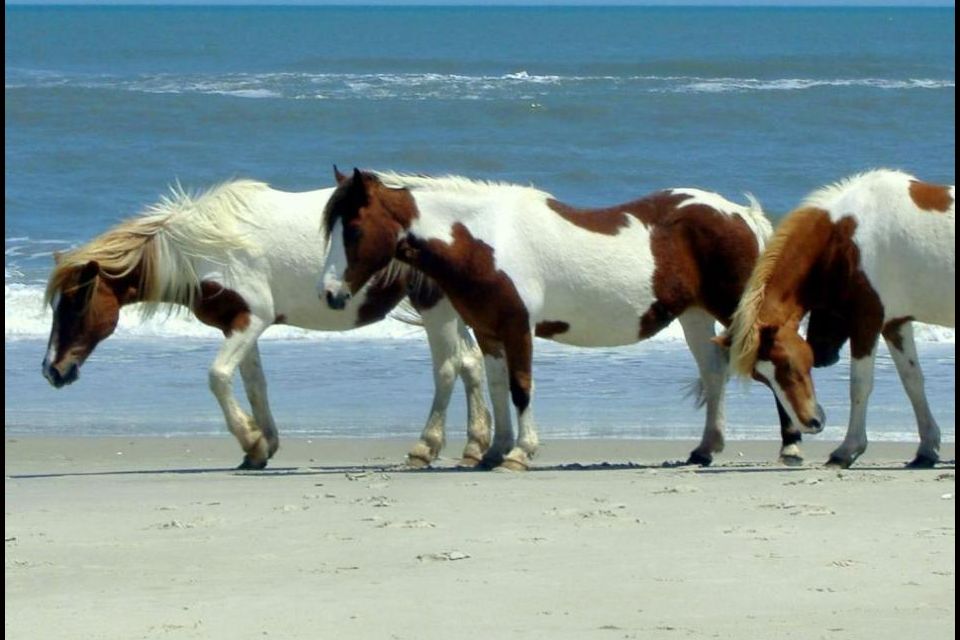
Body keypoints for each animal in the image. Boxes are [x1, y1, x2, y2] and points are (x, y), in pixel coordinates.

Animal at [43, 180, 496, 470]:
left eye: (76, 303)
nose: (52, 371)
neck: (203, 249)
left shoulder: (251, 320)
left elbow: (218, 377)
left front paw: (252, 440)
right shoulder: (238, 326)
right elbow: (252, 383)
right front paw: (261, 447)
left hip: (434, 306)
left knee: (448, 369)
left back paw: (426, 448)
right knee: (471, 364)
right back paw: (475, 447)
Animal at [320, 168, 808, 470]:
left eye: (355, 230)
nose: (330, 293)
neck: (485, 240)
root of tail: (740, 213)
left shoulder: (518, 328)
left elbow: (520, 388)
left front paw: (520, 453)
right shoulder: (488, 331)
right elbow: (496, 387)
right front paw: (494, 451)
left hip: (732, 309)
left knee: (769, 360)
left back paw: (791, 445)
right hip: (693, 316)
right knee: (713, 372)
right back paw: (706, 448)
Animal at [728, 169, 952, 470]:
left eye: (787, 364)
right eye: (761, 377)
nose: (811, 423)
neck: (845, 237)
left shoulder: (866, 320)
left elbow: (859, 386)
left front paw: (847, 450)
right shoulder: (895, 323)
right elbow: (913, 381)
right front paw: (926, 450)